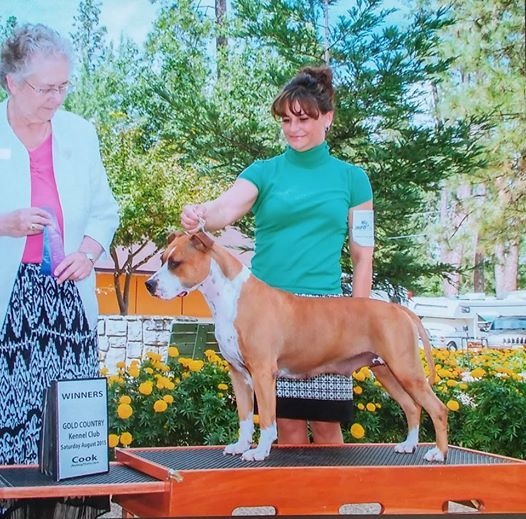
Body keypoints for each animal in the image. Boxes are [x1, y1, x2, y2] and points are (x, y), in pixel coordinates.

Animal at [145, 231, 448, 462]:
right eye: (161, 259)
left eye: (175, 262)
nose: (149, 284)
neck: (231, 297)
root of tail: (399, 309)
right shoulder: (238, 374)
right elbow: (245, 418)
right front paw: (241, 446)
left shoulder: (262, 373)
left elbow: (267, 419)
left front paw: (259, 452)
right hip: (386, 371)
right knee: (412, 407)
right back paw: (408, 445)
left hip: (406, 370)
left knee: (437, 409)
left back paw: (438, 453)